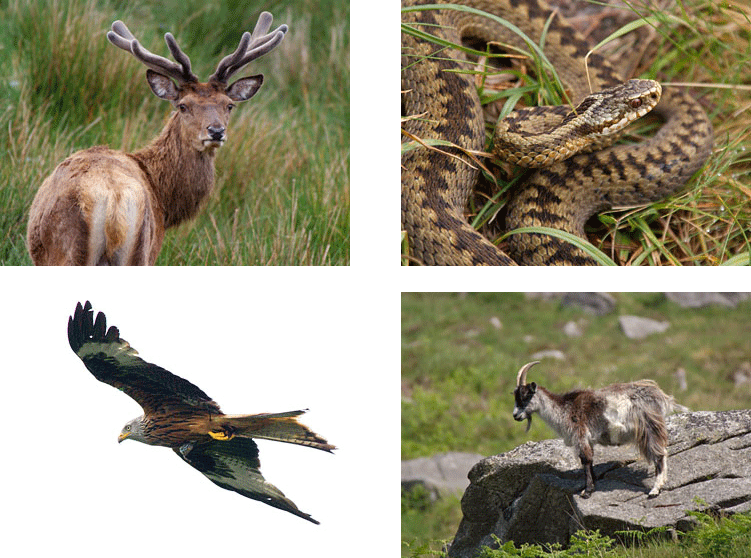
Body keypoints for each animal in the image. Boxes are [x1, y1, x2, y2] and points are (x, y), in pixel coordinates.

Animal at [516, 366, 680, 500]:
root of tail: (659, 395)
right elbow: (590, 460)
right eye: (515, 396)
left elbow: (585, 460)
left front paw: (587, 491)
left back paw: (655, 490)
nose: (515, 415)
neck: (564, 409)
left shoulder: (580, 435)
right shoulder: (588, 440)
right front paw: (592, 483)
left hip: (650, 427)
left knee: (659, 455)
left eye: (526, 396)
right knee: (663, 452)